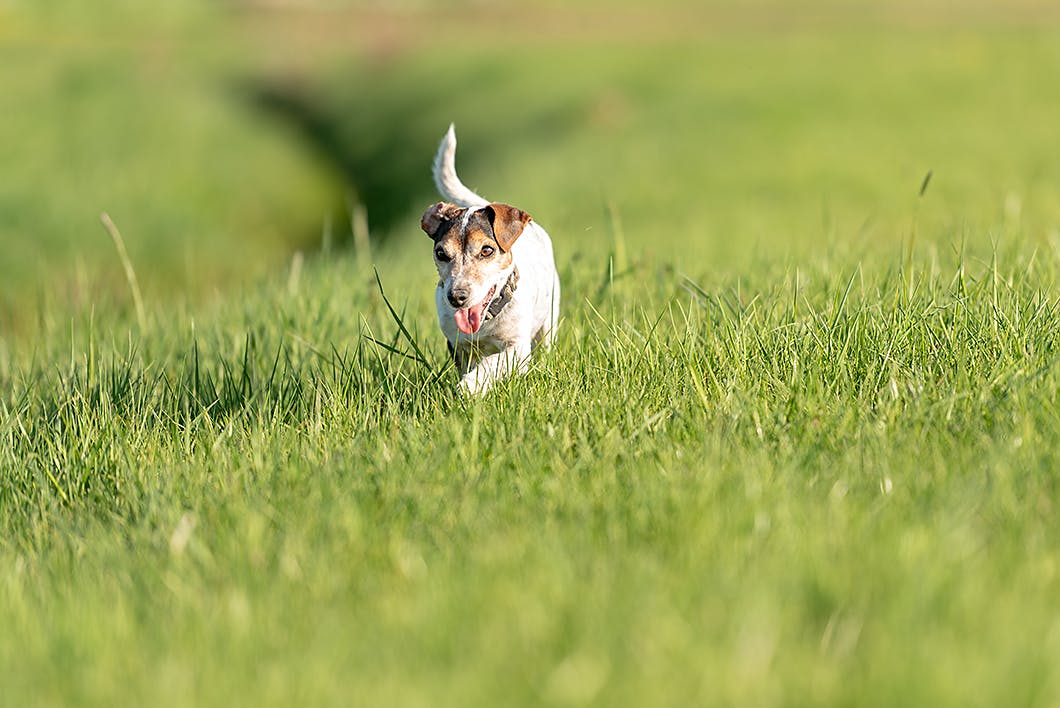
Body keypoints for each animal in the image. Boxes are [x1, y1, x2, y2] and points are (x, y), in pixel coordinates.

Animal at [419, 124, 563, 396]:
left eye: (487, 250)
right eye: (441, 253)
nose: (456, 297)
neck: (487, 319)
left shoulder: (518, 348)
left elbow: (492, 363)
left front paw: (470, 385)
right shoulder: (458, 346)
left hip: (549, 317)